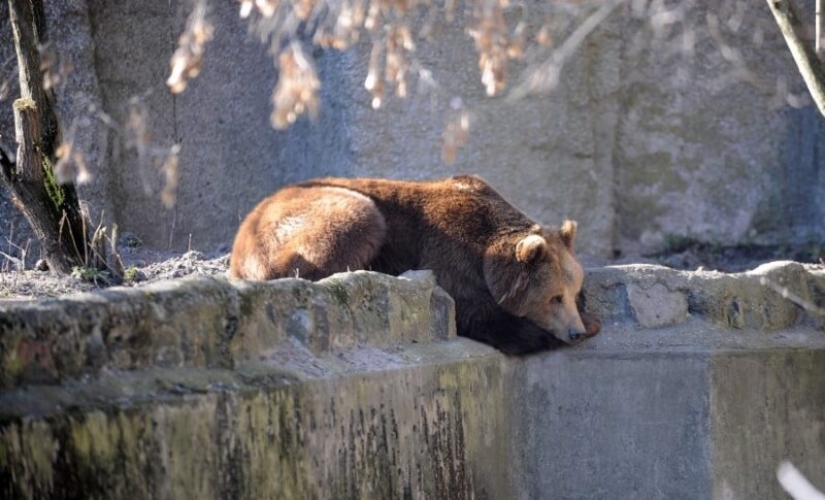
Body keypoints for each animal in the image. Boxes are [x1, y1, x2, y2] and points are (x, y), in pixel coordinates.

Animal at [229, 175, 600, 354]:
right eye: (553, 297)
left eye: (573, 292)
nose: (575, 332)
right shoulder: (449, 249)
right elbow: (476, 312)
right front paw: (547, 333)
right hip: (309, 213)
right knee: (355, 219)